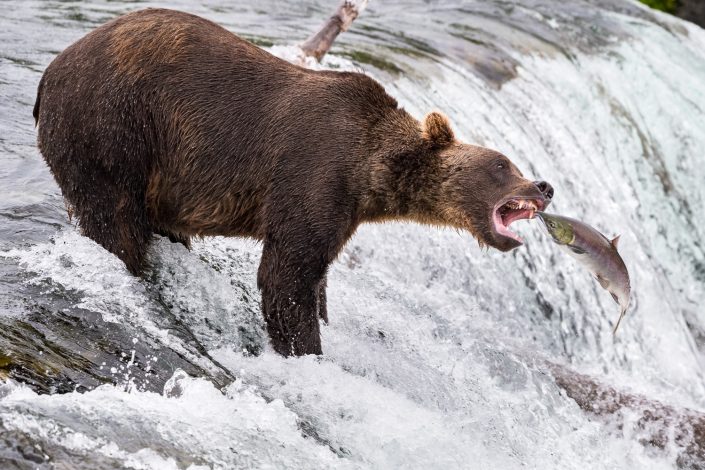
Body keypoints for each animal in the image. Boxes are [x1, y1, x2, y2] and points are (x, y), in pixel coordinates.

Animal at [34, 8, 552, 356]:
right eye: (503, 165)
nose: (544, 186)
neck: (370, 172)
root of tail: (49, 74)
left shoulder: (342, 208)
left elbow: (316, 275)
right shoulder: (313, 171)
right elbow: (287, 275)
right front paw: (305, 348)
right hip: (114, 124)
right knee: (115, 219)